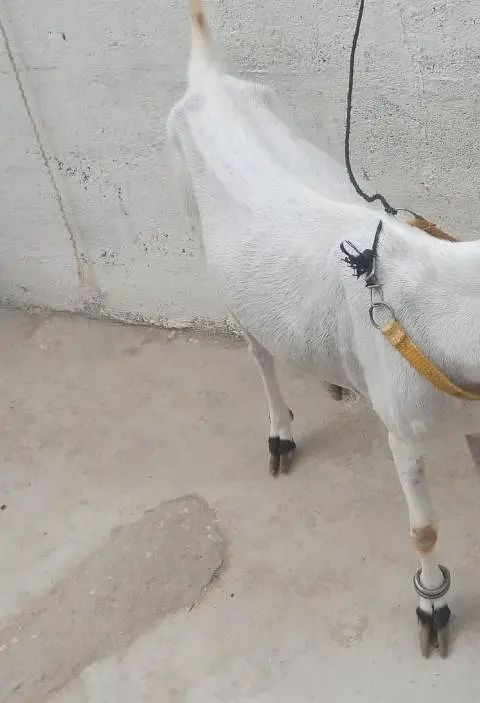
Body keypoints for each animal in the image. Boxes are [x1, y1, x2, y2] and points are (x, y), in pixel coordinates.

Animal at [167, 0, 480, 658]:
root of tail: (207, 78)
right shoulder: (405, 430)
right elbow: (423, 530)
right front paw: (432, 607)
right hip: (202, 237)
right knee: (259, 352)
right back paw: (280, 434)